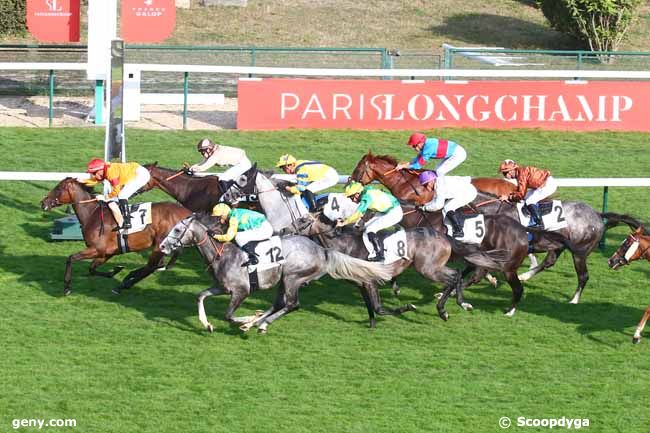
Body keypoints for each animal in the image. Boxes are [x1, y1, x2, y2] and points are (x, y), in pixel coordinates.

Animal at [40, 177, 190, 296]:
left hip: (160, 245)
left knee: (152, 265)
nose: (43, 202)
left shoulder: (97, 249)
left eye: (58, 188)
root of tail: (187, 213)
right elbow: (92, 269)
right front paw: (115, 270)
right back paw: (126, 281)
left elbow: (71, 258)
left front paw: (66, 288)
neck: (92, 214)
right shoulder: (106, 253)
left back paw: (125, 282)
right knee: (155, 265)